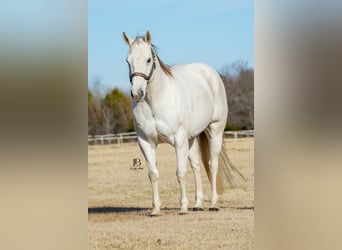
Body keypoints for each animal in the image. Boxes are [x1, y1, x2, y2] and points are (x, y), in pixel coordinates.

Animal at [123, 30, 243, 215]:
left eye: (148, 59)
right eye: (127, 61)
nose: (137, 93)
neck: (156, 101)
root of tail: (211, 74)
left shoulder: (178, 140)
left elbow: (180, 173)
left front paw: (183, 207)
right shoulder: (145, 142)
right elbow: (153, 174)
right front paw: (155, 209)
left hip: (214, 130)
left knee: (213, 165)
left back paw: (213, 203)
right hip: (191, 138)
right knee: (196, 166)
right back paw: (198, 204)